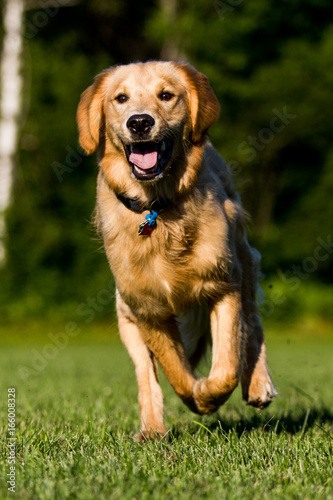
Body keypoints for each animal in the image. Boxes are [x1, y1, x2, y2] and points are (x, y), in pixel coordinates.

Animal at [76, 60, 276, 440]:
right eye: (121, 98)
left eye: (166, 95)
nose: (139, 122)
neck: (158, 207)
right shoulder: (147, 308)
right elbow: (173, 370)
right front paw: (194, 395)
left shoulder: (223, 285)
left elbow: (227, 364)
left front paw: (208, 396)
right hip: (125, 316)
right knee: (146, 376)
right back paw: (152, 430)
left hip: (243, 259)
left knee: (253, 324)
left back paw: (258, 384)